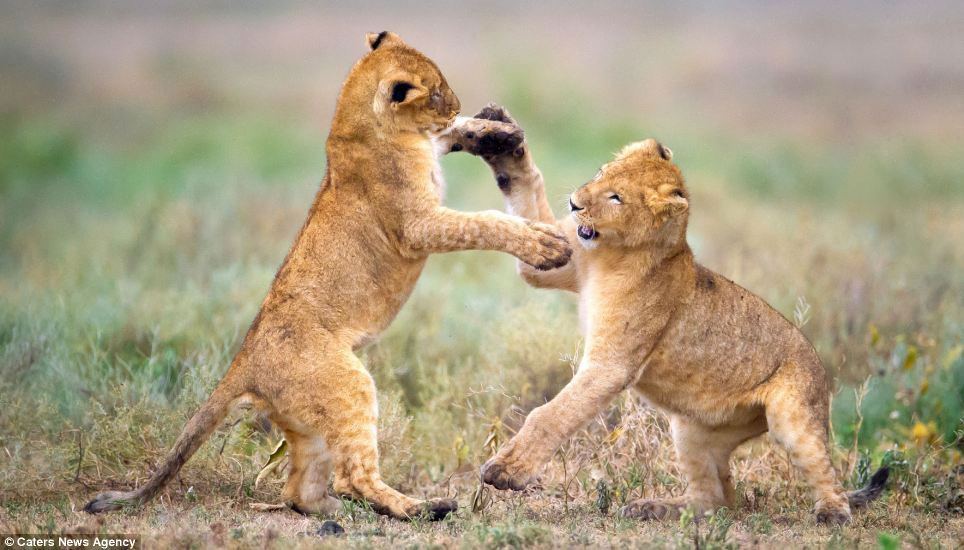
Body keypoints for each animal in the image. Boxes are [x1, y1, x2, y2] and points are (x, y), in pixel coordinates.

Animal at [83, 33, 571, 521]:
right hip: (348, 385)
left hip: (307, 420)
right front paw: (546, 245)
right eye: (435, 92)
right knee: (352, 476)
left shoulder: (427, 162)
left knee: (298, 490)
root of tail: (244, 362)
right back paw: (422, 507)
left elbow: (449, 137)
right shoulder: (417, 225)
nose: (455, 103)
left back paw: (332, 510)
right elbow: (484, 221)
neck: (357, 121)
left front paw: (494, 130)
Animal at [466, 105, 887, 524]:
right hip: (692, 431)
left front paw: (505, 471)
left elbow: (552, 414)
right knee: (716, 498)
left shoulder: (612, 365)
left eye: (616, 198)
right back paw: (654, 507)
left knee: (822, 469)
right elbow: (529, 205)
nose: (573, 203)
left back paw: (832, 512)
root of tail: (820, 367)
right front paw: (501, 138)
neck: (612, 255)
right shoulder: (556, 263)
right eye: (601, 173)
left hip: (793, 418)